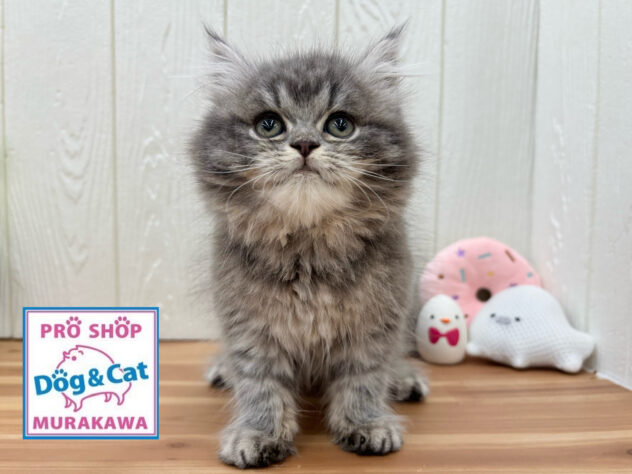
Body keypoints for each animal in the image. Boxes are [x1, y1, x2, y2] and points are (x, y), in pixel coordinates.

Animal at [190, 25, 428, 468]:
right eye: (269, 125)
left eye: (339, 125)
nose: (303, 144)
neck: (308, 252)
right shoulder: (248, 327)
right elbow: (259, 385)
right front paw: (259, 434)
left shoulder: (377, 325)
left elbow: (364, 379)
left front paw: (366, 424)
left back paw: (402, 377)